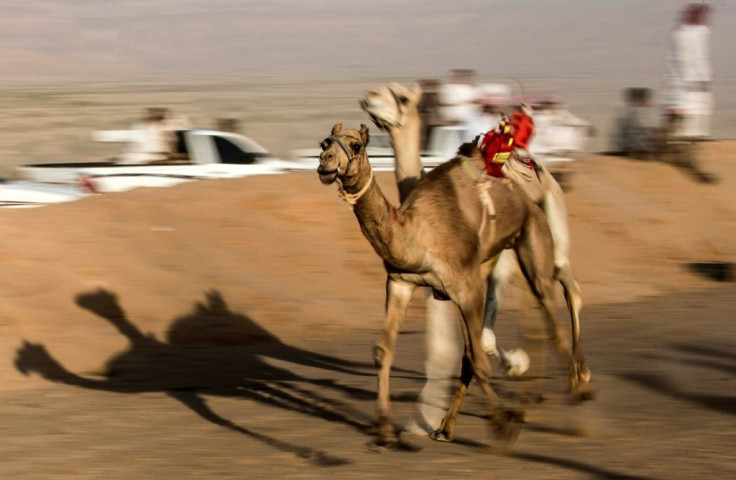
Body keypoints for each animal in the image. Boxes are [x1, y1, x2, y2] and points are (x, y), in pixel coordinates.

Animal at [316, 122, 592, 444]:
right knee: (535, 321)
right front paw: (383, 429)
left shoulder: (467, 287)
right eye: (324, 143)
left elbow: (478, 359)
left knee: (556, 306)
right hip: (499, 260)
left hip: (534, 236)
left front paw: (501, 426)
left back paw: (577, 388)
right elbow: (383, 351)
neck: (417, 232)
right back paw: (459, 423)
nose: (325, 164)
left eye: (357, 145)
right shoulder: (401, 282)